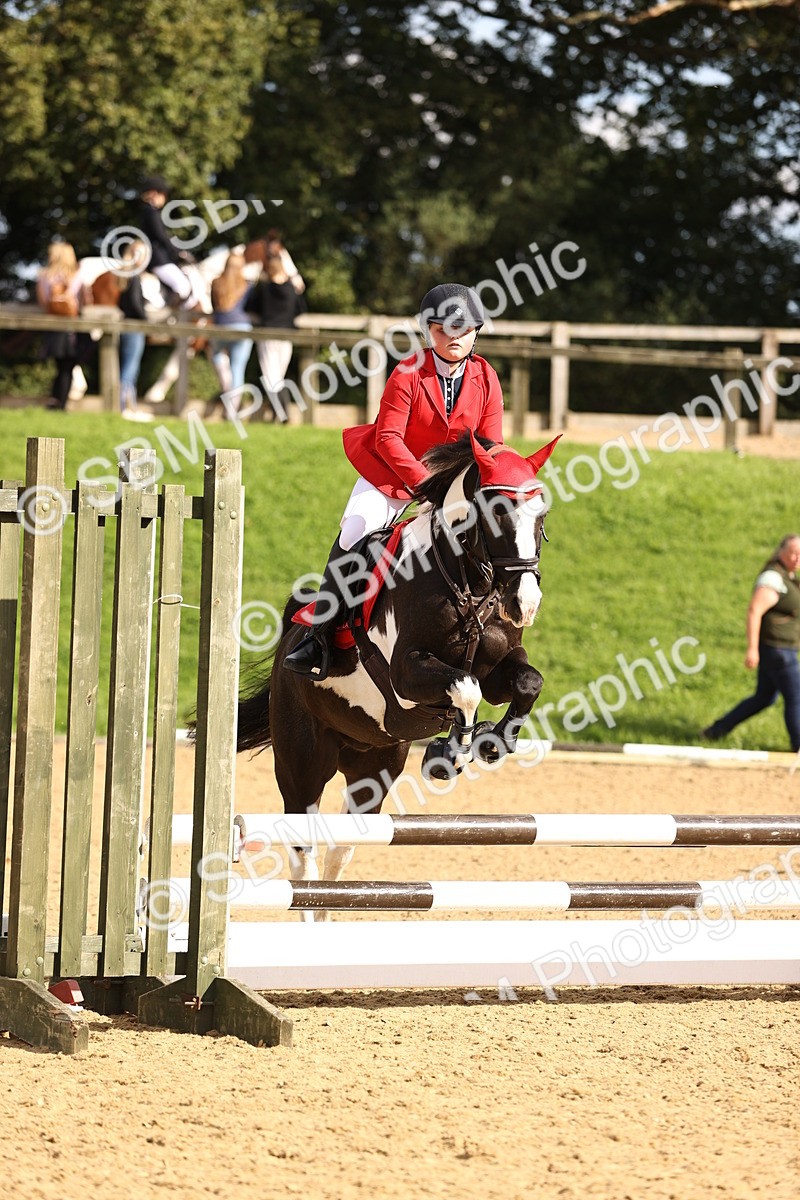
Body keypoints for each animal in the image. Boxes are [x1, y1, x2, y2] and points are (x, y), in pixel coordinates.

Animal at [236, 430, 559, 916]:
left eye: (542, 514)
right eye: (498, 511)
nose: (525, 605)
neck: (463, 580)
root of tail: (289, 640)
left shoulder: (501, 665)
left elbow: (525, 681)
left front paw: (492, 742)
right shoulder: (407, 676)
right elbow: (465, 688)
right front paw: (450, 755)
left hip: (375, 767)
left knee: (340, 851)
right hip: (302, 764)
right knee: (303, 855)